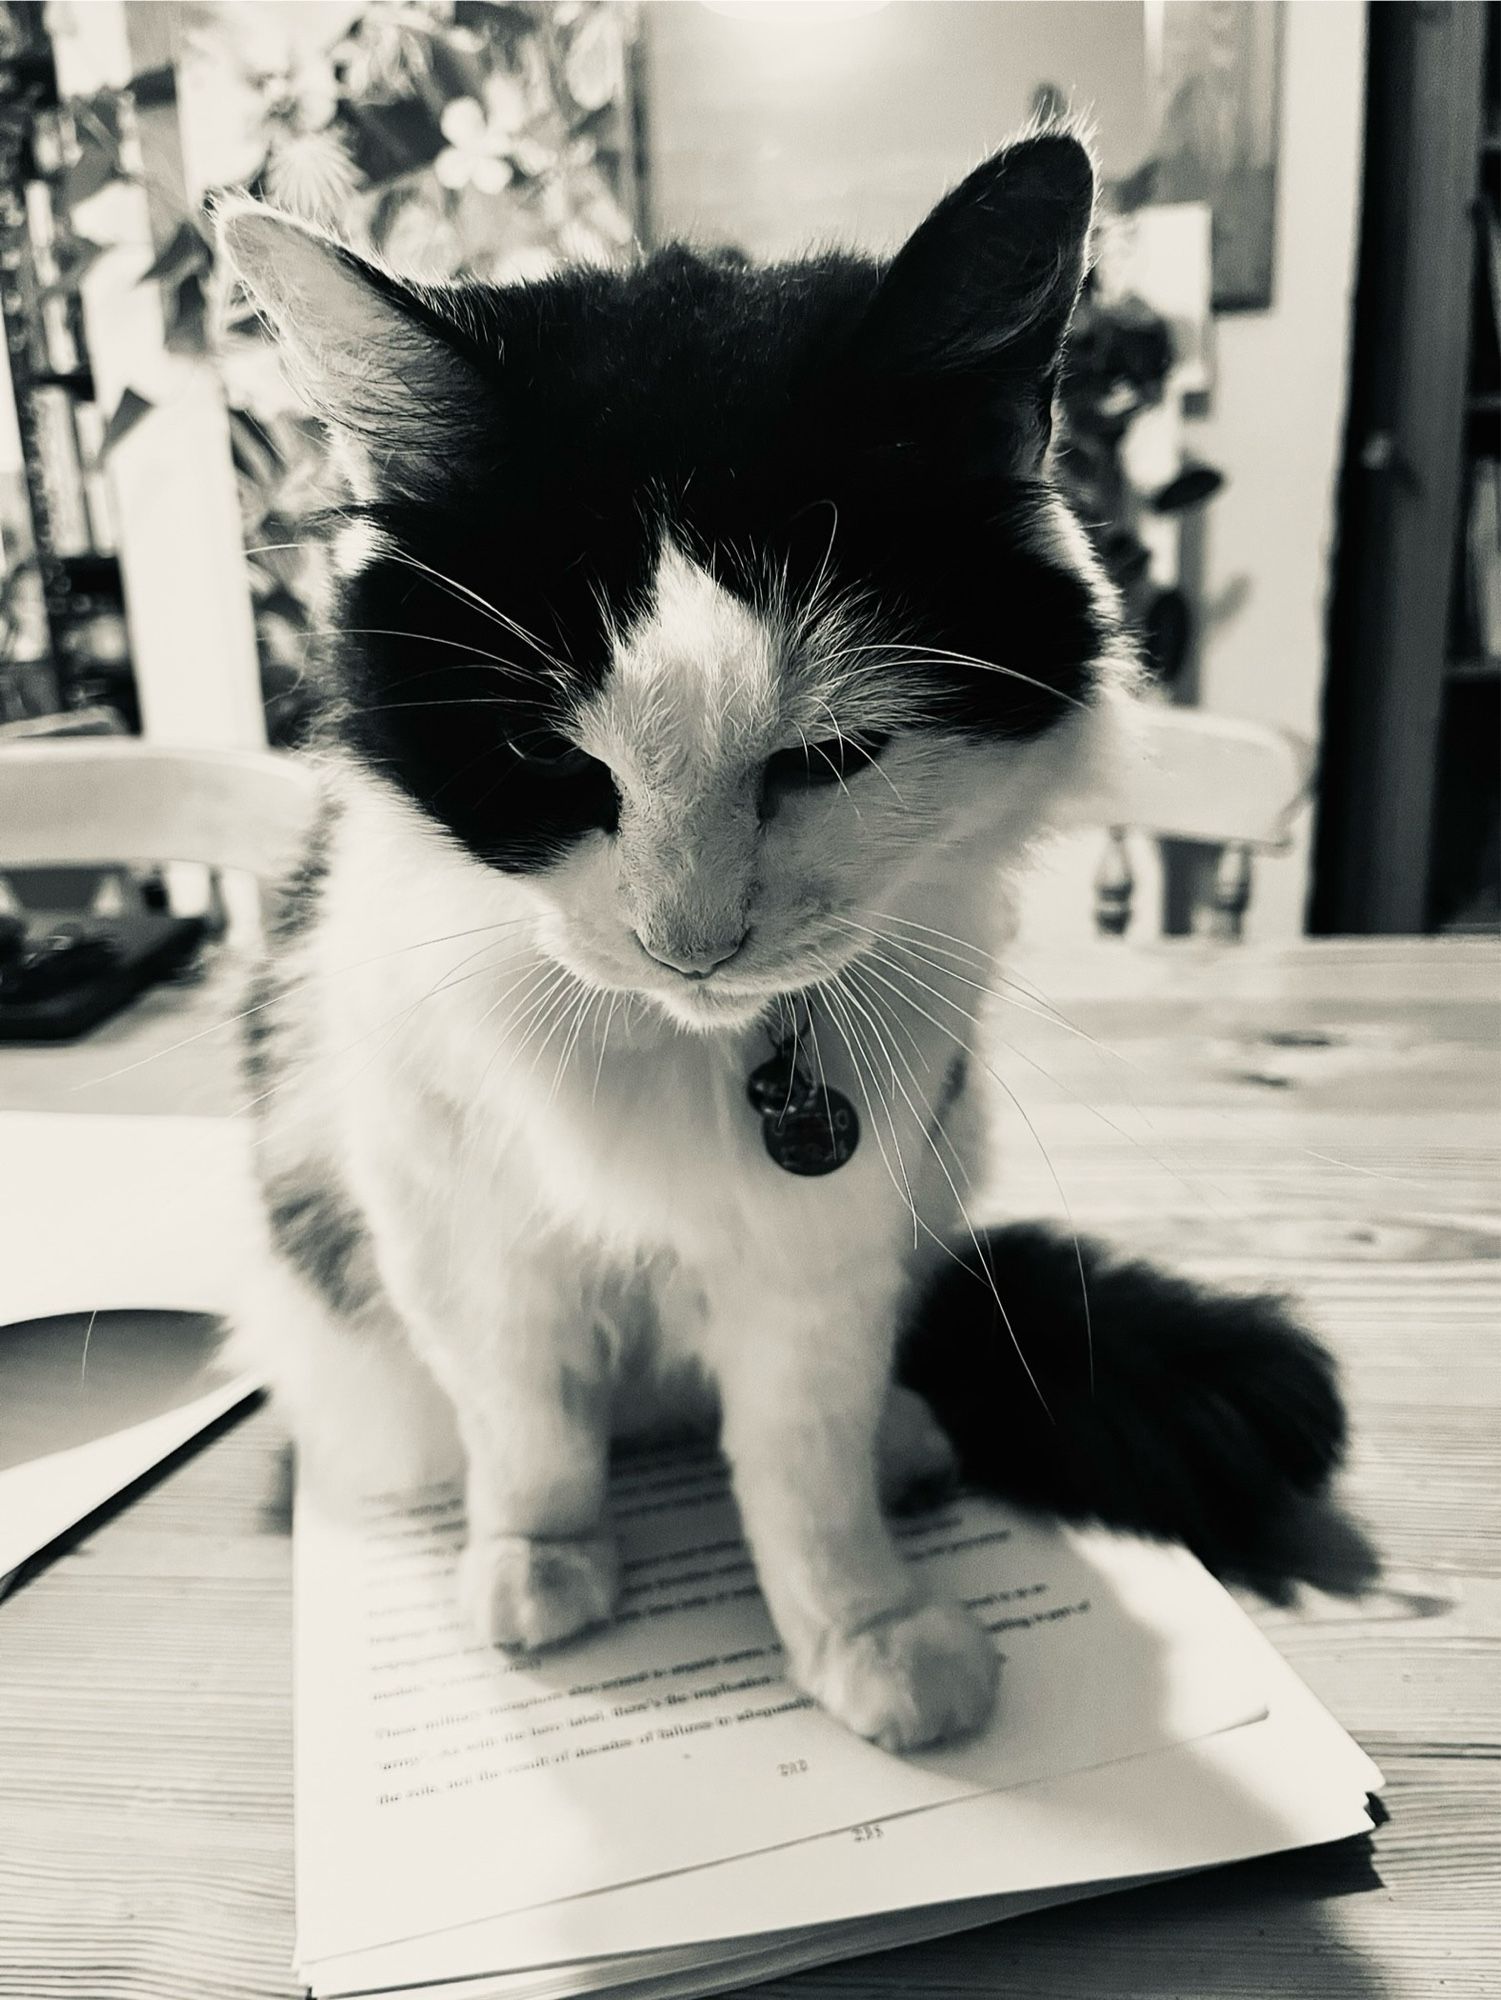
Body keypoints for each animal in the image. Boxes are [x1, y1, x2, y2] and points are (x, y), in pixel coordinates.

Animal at [217, 129, 1344, 1752]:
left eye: (829, 758)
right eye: (549, 762)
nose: (685, 941)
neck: (687, 1058)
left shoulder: (826, 1253)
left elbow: (800, 1475)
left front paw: (864, 1632)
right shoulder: (458, 1229)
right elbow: (528, 1424)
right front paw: (540, 1563)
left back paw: (907, 1445)